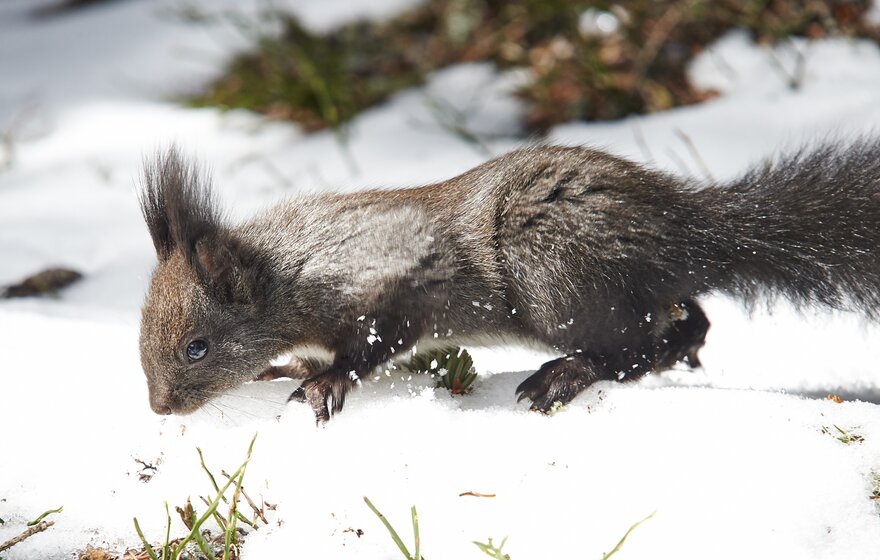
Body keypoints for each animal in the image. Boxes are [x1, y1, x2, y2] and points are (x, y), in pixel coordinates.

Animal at [136, 142, 880, 422]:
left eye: (197, 347)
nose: (161, 410)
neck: (290, 269)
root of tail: (682, 229)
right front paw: (290, 365)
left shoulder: (392, 291)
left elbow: (374, 344)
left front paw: (325, 382)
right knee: (684, 316)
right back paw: (683, 339)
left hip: (554, 278)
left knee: (631, 347)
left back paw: (565, 375)